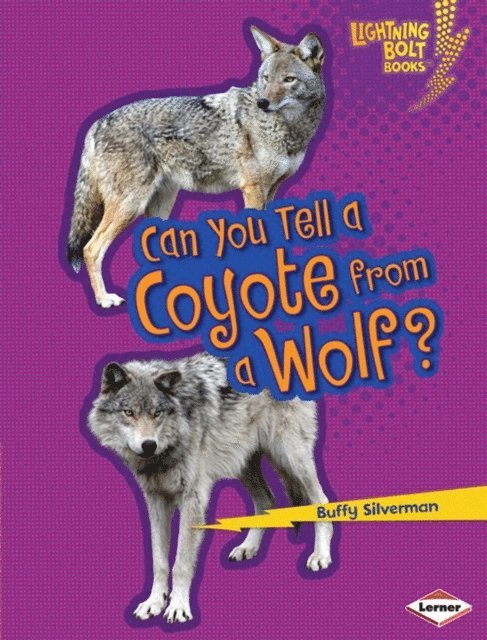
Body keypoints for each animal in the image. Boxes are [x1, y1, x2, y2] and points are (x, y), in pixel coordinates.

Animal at [67, 26, 326, 308]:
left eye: (289, 80)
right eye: (265, 79)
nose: (263, 103)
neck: (289, 130)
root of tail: (97, 124)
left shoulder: (272, 190)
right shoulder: (253, 189)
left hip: (159, 206)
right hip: (130, 204)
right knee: (91, 249)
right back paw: (105, 299)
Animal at [88, 353, 332, 623]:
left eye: (157, 413)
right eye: (128, 412)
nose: (149, 444)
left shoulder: (192, 498)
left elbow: (181, 562)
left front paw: (178, 607)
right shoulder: (156, 500)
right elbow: (159, 562)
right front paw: (154, 603)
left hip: (290, 456)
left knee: (321, 501)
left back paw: (321, 556)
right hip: (243, 463)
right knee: (267, 500)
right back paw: (248, 547)